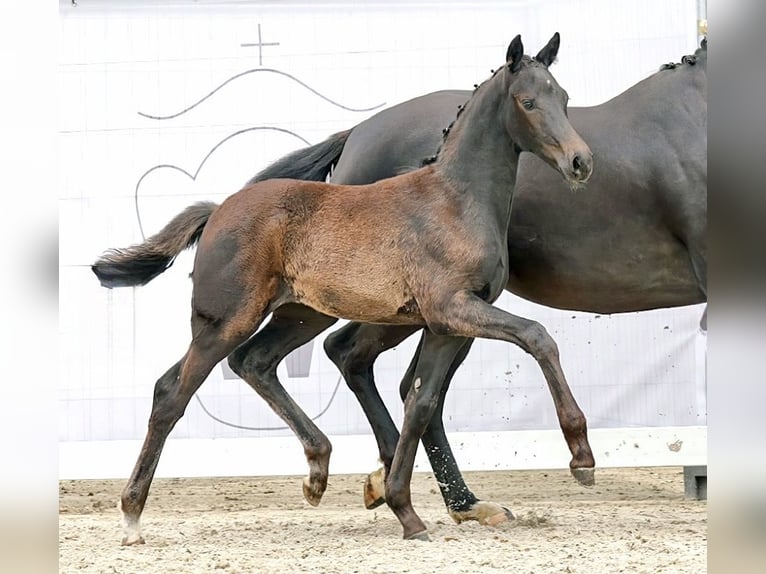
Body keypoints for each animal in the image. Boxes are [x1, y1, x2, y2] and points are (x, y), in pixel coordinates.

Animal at [92, 33, 593, 543]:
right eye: (528, 102)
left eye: (564, 97)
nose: (580, 162)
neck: (456, 201)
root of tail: (216, 212)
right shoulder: (452, 308)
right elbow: (536, 336)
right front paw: (581, 456)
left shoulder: (446, 324)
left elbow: (421, 402)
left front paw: (405, 512)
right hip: (225, 321)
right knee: (173, 394)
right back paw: (132, 516)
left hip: (299, 315)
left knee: (250, 362)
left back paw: (317, 471)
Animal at [247, 38, 708, 526]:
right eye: (528, 102)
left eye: (565, 99)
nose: (581, 163)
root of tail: (355, 134)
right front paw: (581, 455)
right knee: (336, 358)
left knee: (385, 375)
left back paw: (438, 494)